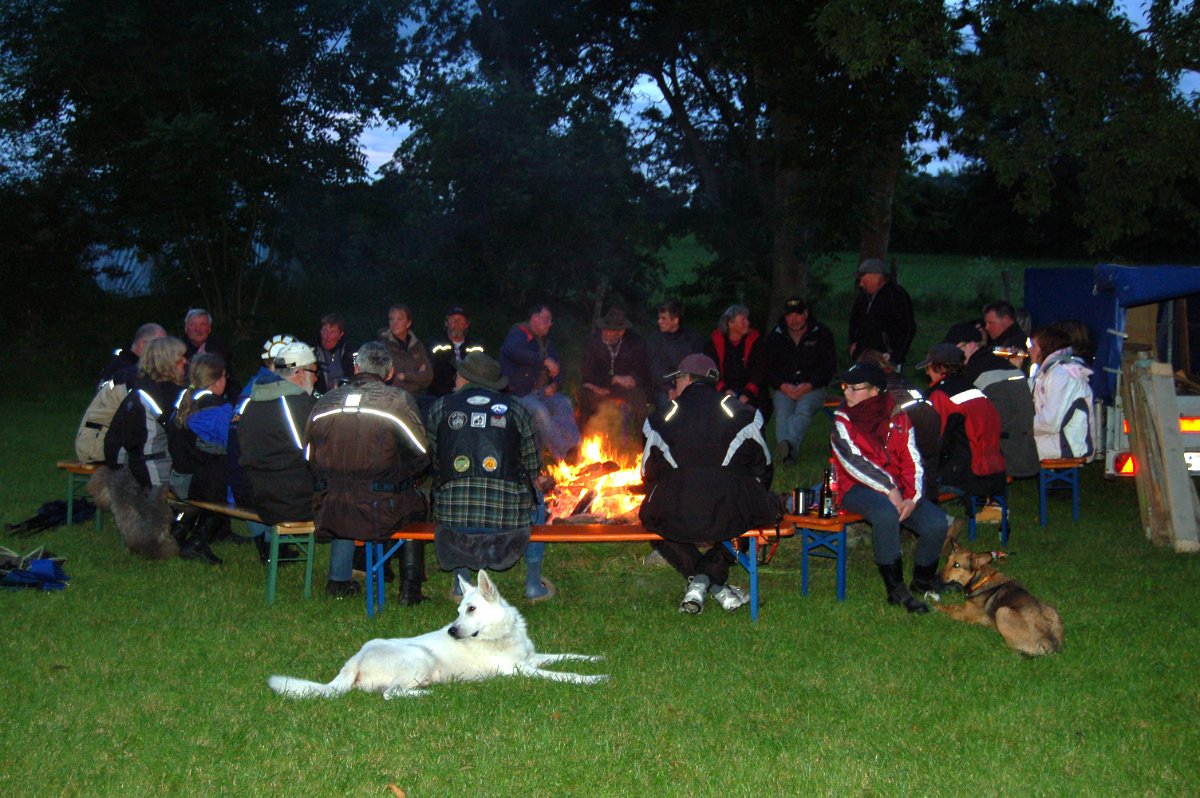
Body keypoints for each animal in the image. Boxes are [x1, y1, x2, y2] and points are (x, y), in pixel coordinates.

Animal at [272, 566, 609, 696]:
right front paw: (594, 679)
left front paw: (598, 660)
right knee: (390, 693)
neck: (499, 634)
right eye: (458, 612)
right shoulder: (520, 670)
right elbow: (564, 674)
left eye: (470, 609)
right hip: (420, 660)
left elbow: (570, 655)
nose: (451, 632)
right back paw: (428, 693)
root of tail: (355, 660)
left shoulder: (533, 658)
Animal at [931, 537, 1065, 657]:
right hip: (1051, 608)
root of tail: (1049, 643)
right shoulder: (966, 608)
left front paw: (936, 606)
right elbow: (952, 606)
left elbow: (948, 610)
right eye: (947, 561)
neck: (979, 579)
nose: (935, 578)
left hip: (1002, 611)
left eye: (956, 565)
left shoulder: (966, 615)